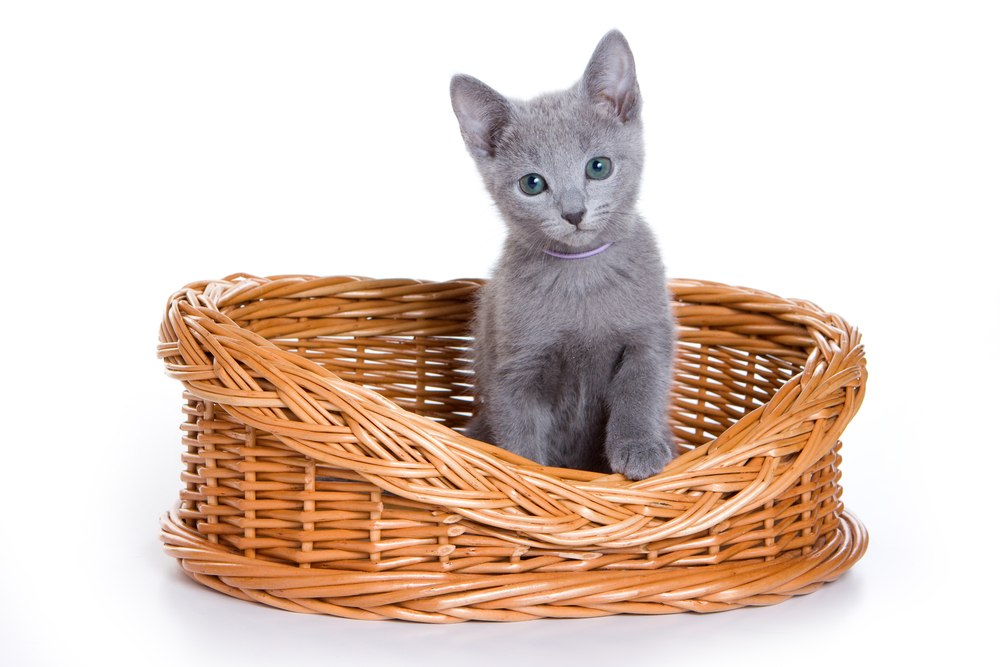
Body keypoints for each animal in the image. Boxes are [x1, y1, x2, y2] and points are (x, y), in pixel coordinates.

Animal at [454, 30, 680, 480]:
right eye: (532, 183)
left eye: (598, 167)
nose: (574, 213)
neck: (582, 273)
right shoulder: (515, 367)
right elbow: (518, 430)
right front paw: (527, 475)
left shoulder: (648, 337)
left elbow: (640, 390)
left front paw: (640, 447)